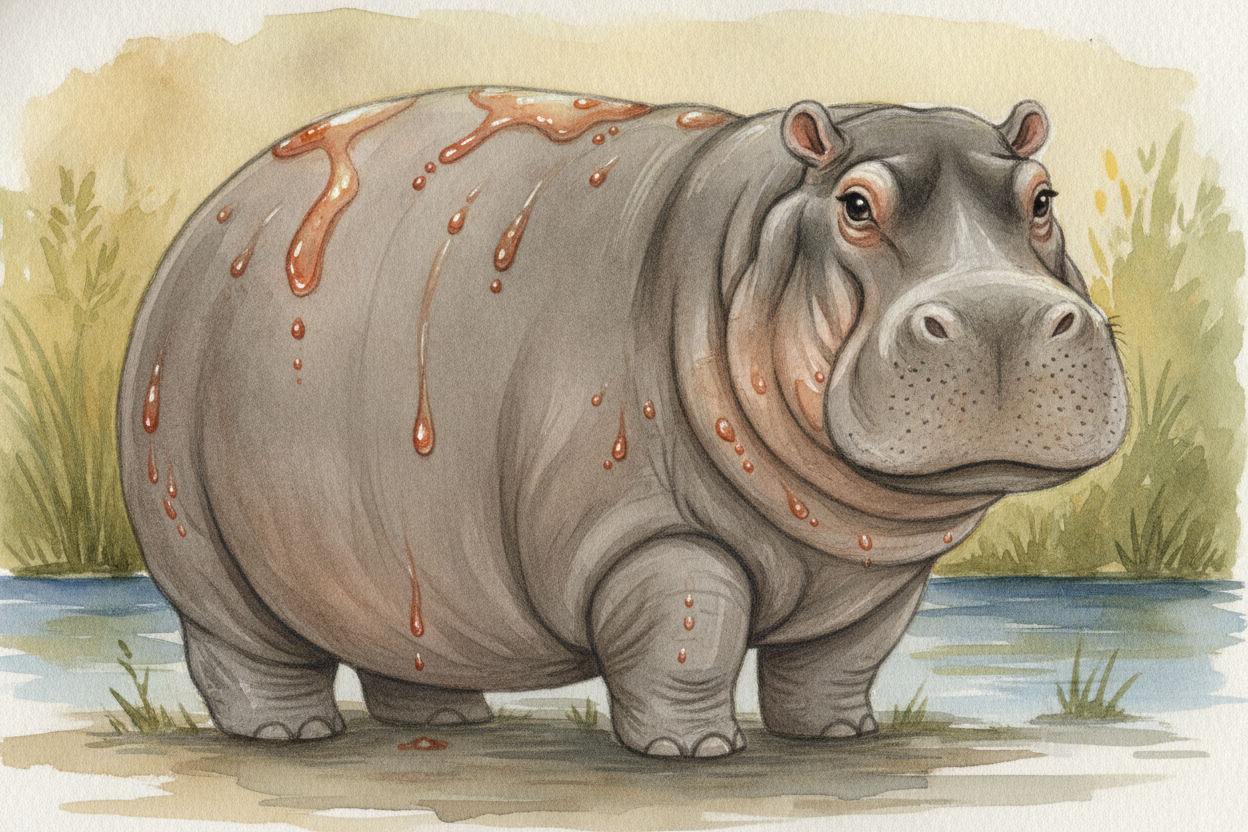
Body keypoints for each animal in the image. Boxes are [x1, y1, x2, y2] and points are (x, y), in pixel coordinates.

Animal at [118, 87, 1128, 757]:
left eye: (1043, 198)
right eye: (855, 205)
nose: (998, 314)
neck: (747, 241)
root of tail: (208, 217)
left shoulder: (877, 573)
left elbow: (843, 656)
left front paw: (841, 735)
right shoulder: (652, 534)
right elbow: (691, 637)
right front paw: (696, 753)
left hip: (389, 551)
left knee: (400, 639)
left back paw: (450, 719)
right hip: (194, 538)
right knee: (240, 649)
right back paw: (288, 732)